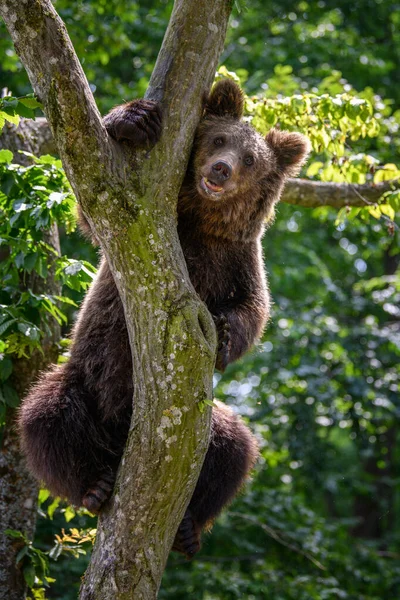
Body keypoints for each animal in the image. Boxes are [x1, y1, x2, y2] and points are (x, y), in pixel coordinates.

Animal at [18, 79, 310, 556]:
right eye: (218, 139)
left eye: (251, 159)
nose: (221, 170)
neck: (200, 221)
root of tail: (120, 439)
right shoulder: (132, 225)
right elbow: (93, 211)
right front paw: (132, 119)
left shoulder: (235, 257)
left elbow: (255, 308)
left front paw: (226, 333)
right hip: (85, 378)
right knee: (46, 417)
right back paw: (94, 485)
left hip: (204, 422)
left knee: (234, 446)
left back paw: (190, 525)